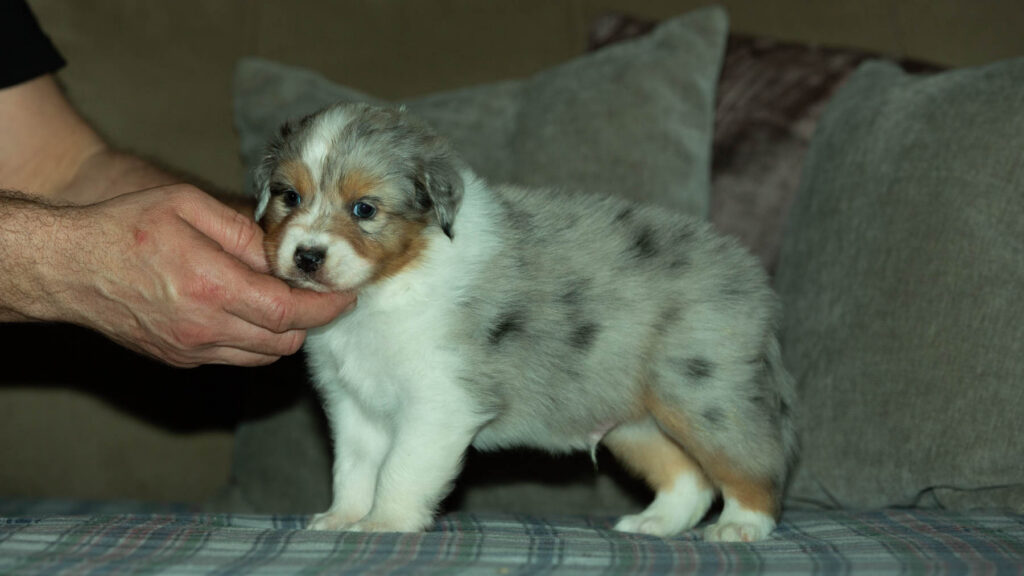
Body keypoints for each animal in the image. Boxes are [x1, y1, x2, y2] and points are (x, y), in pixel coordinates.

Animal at [254, 102, 797, 542]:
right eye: (289, 197)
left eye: (364, 209)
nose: (307, 256)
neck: (390, 284)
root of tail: (751, 277)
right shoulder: (353, 402)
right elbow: (354, 468)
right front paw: (341, 518)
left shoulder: (441, 402)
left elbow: (399, 469)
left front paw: (384, 523)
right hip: (633, 417)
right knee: (688, 478)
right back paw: (654, 523)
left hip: (708, 395)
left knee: (754, 463)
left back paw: (742, 526)